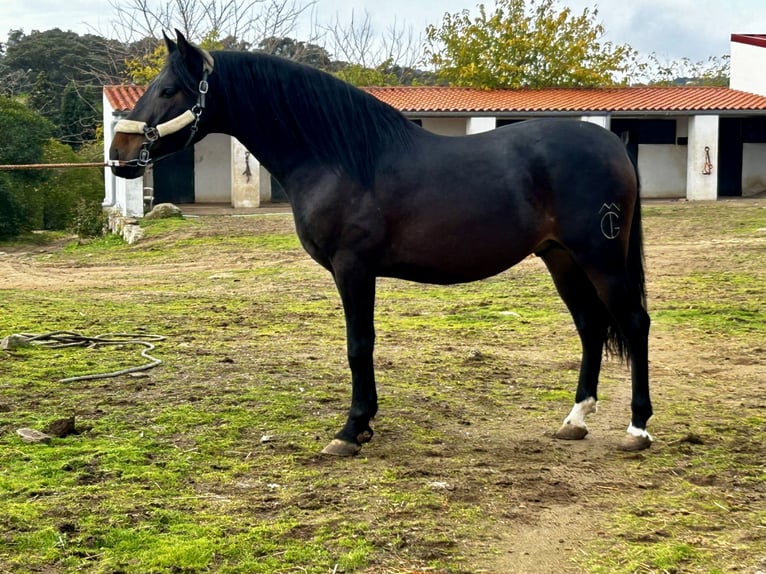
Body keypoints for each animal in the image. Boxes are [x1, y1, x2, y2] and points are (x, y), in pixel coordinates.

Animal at [109, 31, 656, 456]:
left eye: (170, 89)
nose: (119, 154)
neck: (341, 158)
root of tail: (613, 144)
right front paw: (363, 423)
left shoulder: (353, 267)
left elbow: (359, 344)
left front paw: (352, 429)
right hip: (561, 258)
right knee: (590, 326)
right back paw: (575, 420)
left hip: (600, 258)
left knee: (633, 322)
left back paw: (637, 428)